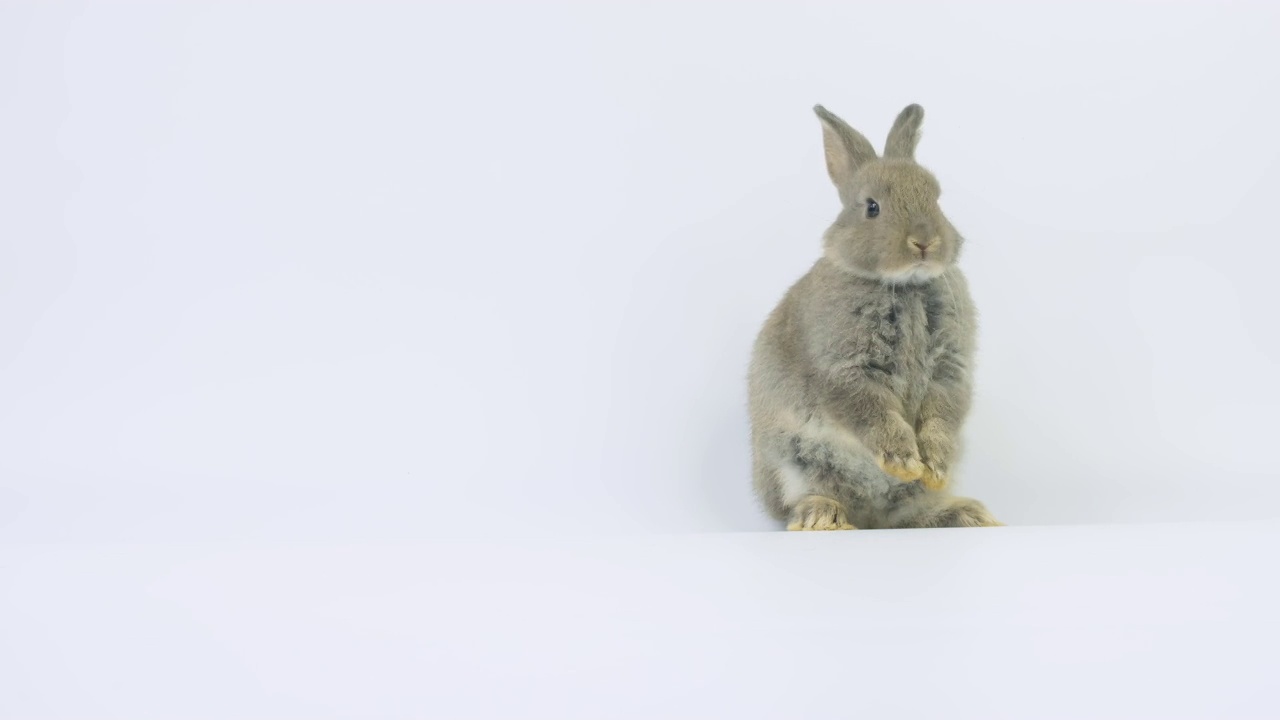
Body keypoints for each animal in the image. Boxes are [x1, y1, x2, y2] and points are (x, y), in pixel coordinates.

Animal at [747, 102, 1003, 527]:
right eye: (872, 207)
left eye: (936, 199)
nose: (924, 242)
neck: (905, 285)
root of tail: (870, 520)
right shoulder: (846, 369)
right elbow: (872, 413)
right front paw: (904, 461)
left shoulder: (950, 368)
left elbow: (942, 414)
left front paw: (933, 466)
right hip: (791, 462)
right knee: (804, 499)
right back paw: (823, 518)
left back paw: (965, 514)